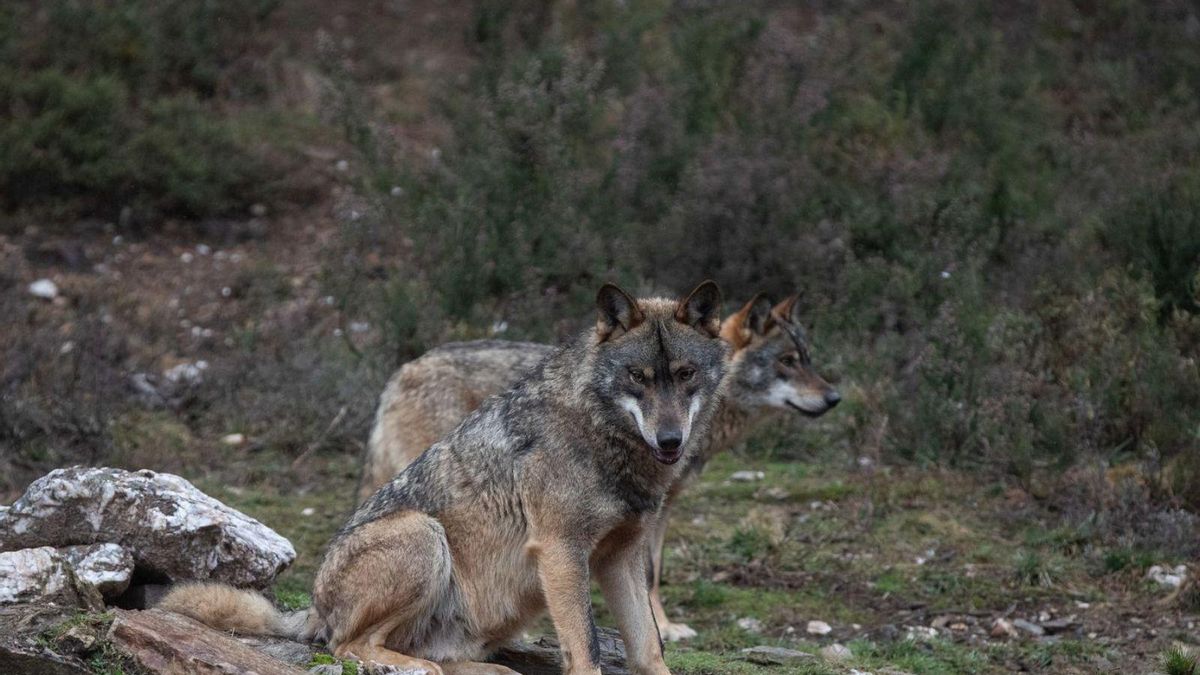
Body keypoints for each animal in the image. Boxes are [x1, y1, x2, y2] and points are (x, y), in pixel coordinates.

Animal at [162, 279, 729, 672]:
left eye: (685, 375)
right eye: (637, 377)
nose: (671, 441)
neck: (602, 433)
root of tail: (314, 610)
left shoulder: (621, 558)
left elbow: (650, 648)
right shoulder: (561, 550)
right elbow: (586, 647)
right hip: (424, 535)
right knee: (349, 647)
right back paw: (408, 664)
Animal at [360, 291, 840, 638]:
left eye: (807, 357)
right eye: (787, 362)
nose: (834, 398)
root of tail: (401, 371)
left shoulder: (661, 507)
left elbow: (652, 571)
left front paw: (662, 625)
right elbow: (649, 572)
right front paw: (663, 626)